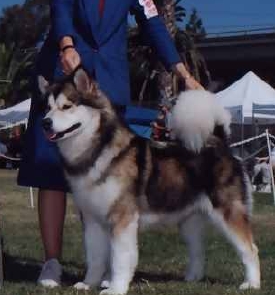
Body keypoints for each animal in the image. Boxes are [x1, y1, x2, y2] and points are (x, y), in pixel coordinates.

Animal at [38, 68, 260, 294]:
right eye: (47, 108)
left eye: (66, 106)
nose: (45, 122)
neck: (96, 151)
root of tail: (220, 143)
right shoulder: (92, 220)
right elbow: (95, 258)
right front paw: (88, 283)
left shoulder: (123, 219)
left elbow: (119, 259)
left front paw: (115, 288)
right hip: (189, 220)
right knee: (199, 250)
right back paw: (192, 278)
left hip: (228, 213)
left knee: (250, 249)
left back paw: (252, 283)